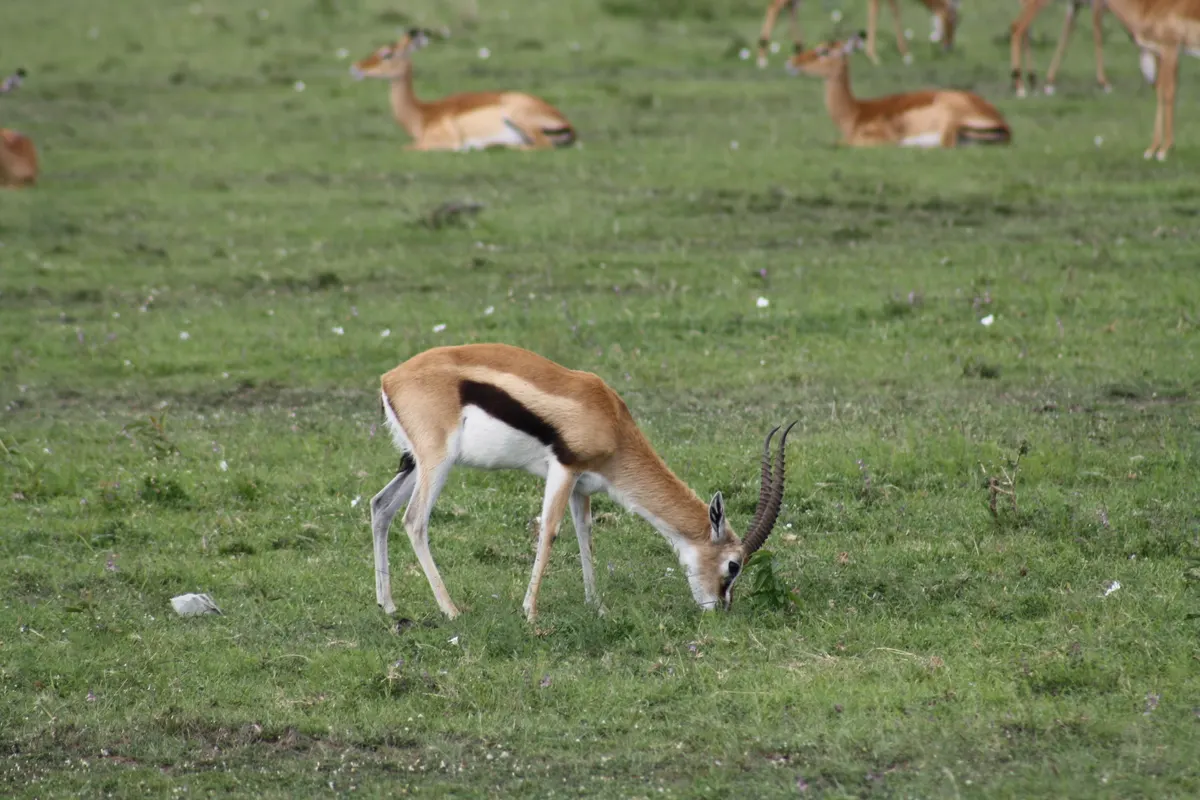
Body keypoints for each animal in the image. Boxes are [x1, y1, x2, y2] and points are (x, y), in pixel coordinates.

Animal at [350, 29, 576, 152]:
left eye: (387, 54)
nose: (355, 67)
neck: (423, 115)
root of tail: (567, 123)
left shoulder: (442, 142)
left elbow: (406, 148)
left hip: (519, 118)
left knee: (540, 145)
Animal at [370, 343, 796, 622]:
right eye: (733, 565)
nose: (720, 608)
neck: (610, 419)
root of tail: (390, 378)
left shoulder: (582, 486)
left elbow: (584, 534)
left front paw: (597, 605)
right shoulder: (564, 469)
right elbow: (550, 531)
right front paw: (530, 613)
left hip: (415, 464)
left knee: (380, 507)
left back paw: (387, 606)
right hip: (437, 462)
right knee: (414, 521)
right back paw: (452, 610)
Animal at [755, 0, 959, 68]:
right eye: (954, 19)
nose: (948, 46)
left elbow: (891, 9)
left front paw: (904, 53)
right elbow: (883, 9)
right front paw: (875, 56)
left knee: (790, 7)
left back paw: (799, 50)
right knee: (776, 5)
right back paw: (762, 57)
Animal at [786, 33, 1012, 148]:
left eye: (824, 50)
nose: (791, 62)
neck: (857, 112)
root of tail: (1003, 123)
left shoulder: (877, 136)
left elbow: (839, 142)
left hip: (949, 121)